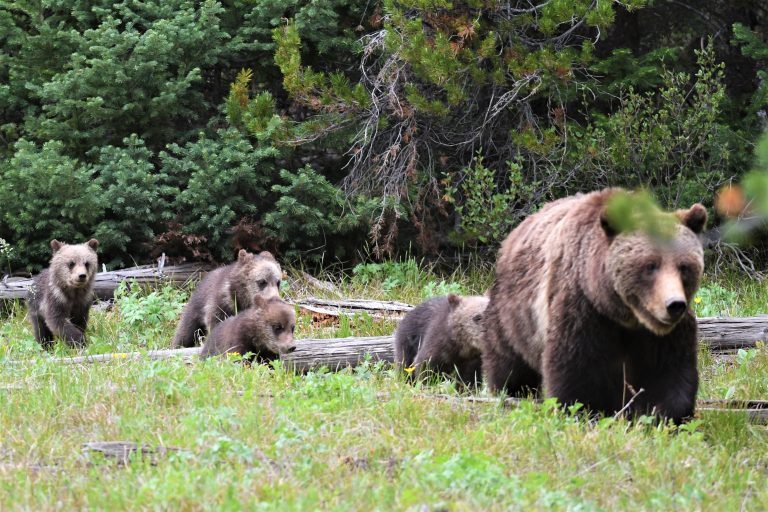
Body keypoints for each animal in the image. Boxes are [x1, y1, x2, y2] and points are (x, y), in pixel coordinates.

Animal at [482, 188, 707, 423]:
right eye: (650, 266)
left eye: (684, 267)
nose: (674, 305)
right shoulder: (583, 310)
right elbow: (576, 369)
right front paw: (584, 412)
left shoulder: (661, 335)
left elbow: (670, 371)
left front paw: (668, 417)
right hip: (514, 311)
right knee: (507, 357)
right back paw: (509, 390)